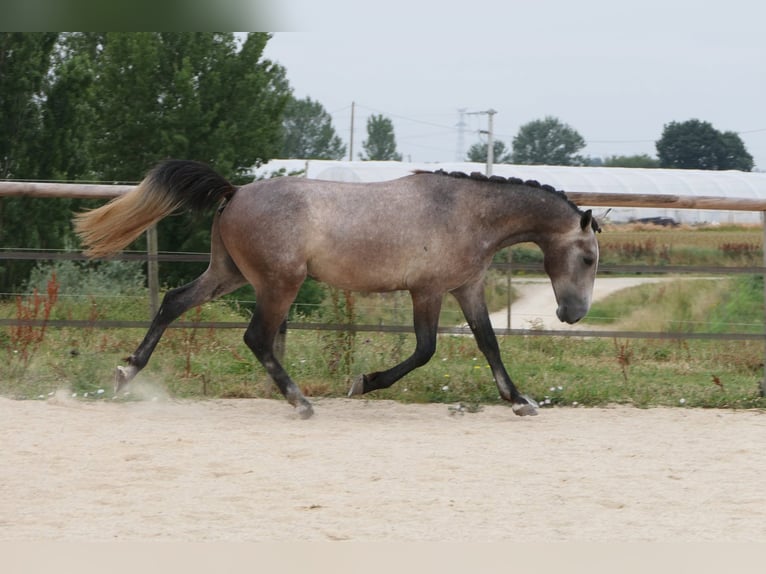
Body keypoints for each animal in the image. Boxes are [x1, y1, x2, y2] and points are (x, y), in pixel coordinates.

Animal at [74, 160, 600, 419]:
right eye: (590, 258)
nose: (572, 314)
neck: (466, 212)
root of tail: (234, 192)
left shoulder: (467, 288)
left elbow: (489, 344)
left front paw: (520, 402)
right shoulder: (427, 291)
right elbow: (425, 350)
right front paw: (362, 382)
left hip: (229, 274)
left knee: (174, 302)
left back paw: (125, 374)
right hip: (279, 283)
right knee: (256, 337)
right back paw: (301, 402)